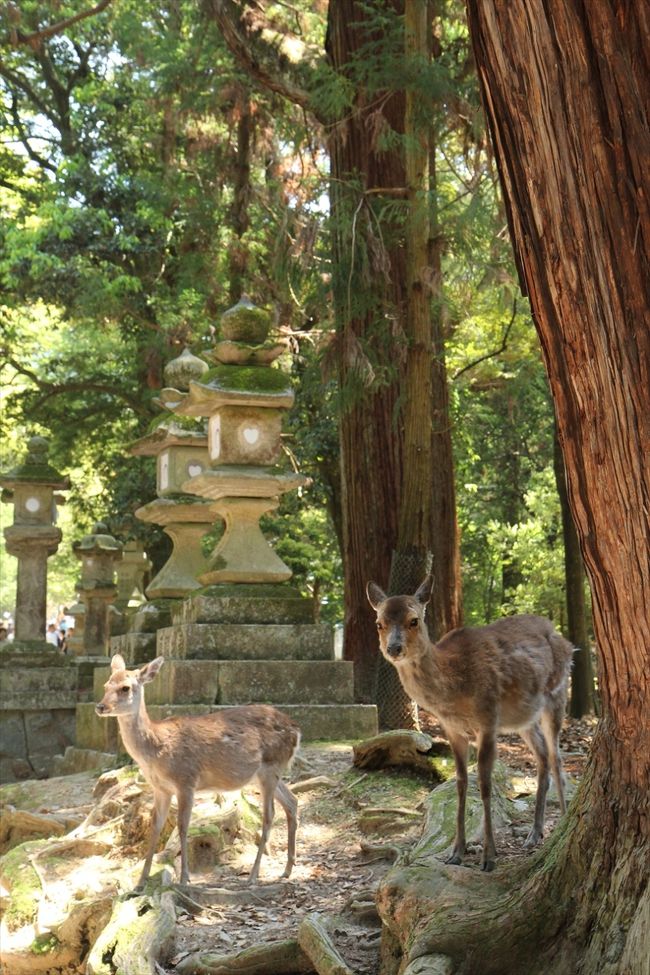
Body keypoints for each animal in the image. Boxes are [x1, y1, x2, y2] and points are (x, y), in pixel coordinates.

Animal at [95, 654, 300, 889]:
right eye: (106, 685)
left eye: (125, 687)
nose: (100, 706)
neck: (156, 750)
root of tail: (297, 730)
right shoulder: (161, 788)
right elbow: (156, 827)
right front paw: (140, 883)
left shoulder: (186, 780)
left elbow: (183, 826)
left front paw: (184, 878)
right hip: (265, 774)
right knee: (292, 801)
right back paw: (287, 869)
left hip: (270, 766)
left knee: (269, 815)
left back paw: (253, 875)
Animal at [367, 576, 573, 871]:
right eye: (379, 623)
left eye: (413, 620)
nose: (394, 648)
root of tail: (565, 640)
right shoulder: (452, 729)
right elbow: (461, 782)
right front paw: (456, 851)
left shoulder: (488, 718)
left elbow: (485, 784)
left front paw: (489, 856)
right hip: (524, 718)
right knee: (543, 756)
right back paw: (535, 833)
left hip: (557, 695)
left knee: (557, 759)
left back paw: (563, 822)